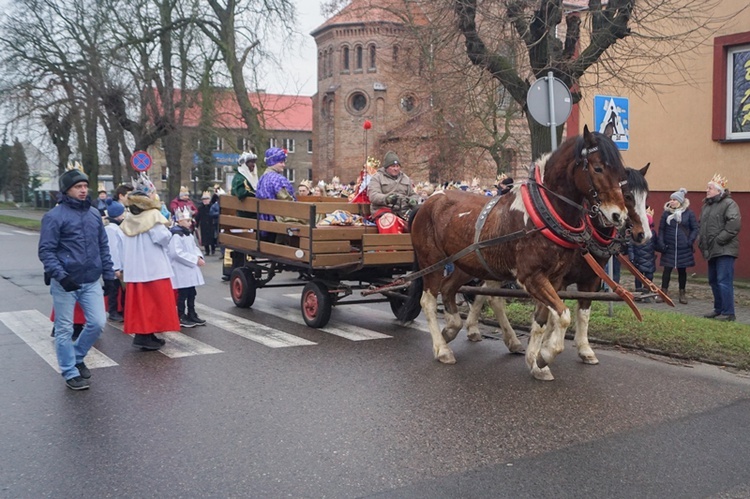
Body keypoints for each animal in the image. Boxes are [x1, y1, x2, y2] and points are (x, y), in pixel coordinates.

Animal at [412, 125, 636, 378]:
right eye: (598, 168)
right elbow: (563, 316)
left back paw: (452, 328)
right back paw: (442, 349)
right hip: (432, 261)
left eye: (621, 172)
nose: (618, 216)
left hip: (466, 264)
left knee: (449, 288)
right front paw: (545, 355)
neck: (544, 213)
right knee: (428, 300)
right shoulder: (531, 276)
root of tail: (430, 200)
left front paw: (536, 361)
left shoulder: (555, 278)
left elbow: (543, 318)